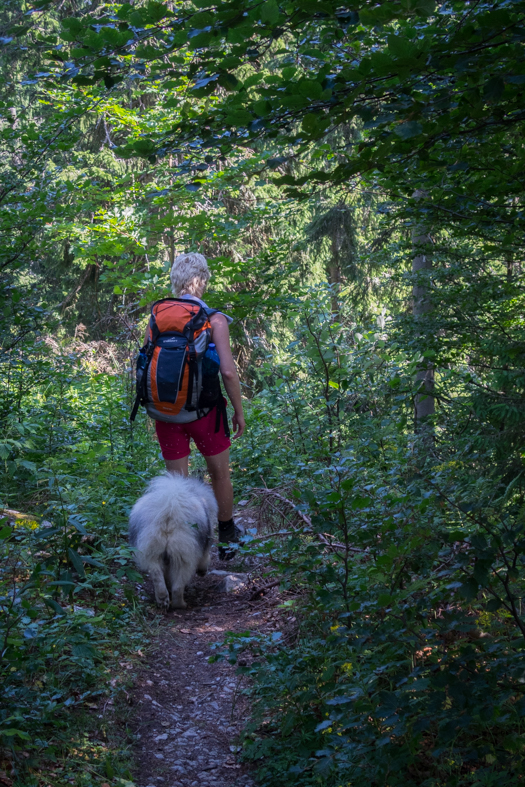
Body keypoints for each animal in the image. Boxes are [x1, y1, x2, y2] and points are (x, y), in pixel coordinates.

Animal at [128, 470, 216, 612]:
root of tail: (169, 514)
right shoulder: (205, 546)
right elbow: (205, 558)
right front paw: (202, 571)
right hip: (183, 555)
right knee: (177, 587)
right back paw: (180, 604)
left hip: (152, 550)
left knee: (157, 574)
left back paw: (162, 598)